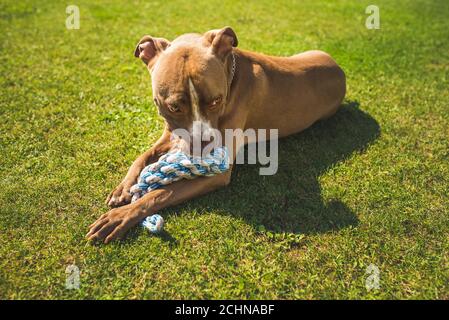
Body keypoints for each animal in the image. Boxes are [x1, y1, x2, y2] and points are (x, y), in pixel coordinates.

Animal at [87, 26, 346, 242]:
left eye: (216, 101)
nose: (203, 147)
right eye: (173, 107)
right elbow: (142, 157)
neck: (231, 75)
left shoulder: (216, 173)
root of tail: (339, 68)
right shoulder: (170, 134)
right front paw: (123, 187)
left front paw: (121, 216)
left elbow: (160, 192)